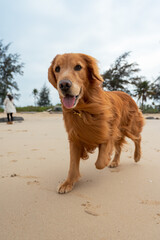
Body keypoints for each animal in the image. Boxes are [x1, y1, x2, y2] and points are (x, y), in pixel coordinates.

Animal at [48, 53, 144, 193]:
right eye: (57, 69)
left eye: (78, 67)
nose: (64, 85)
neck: (84, 109)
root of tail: (127, 94)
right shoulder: (74, 137)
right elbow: (73, 164)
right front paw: (68, 183)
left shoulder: (108, 131)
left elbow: (100, 162)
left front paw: (106, 158)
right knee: (119, 147)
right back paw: (115, 162)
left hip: (129, 127)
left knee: (138, 138)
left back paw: (137, 156)